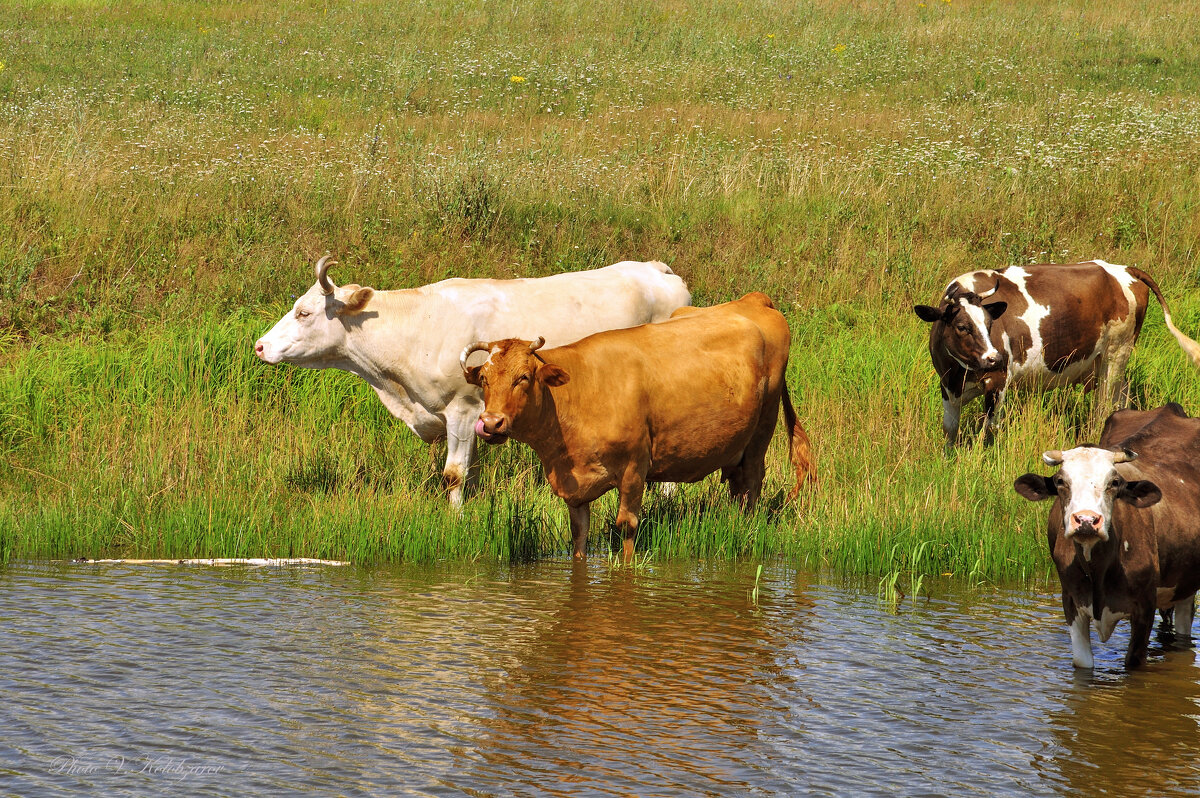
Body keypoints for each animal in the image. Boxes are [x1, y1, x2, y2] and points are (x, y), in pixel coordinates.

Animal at [250, 255, 696, 504]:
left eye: (304, 312)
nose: (259, 346)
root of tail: (656, 270)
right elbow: (472, 472)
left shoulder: (462, 411)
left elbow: (454, 474)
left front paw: (454, 521)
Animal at [456, 291, 816, 559]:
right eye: (484, 378)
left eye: (524, 378)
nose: (491, 423)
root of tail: (754, 300)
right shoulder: (575, 490)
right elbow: (579, 537)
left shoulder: (634, 468)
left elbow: (627, 526)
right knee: (739, 488)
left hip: (762, 428)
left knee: (753, 482)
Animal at [907, 260, 1200, 448]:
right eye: (961, 326)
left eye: (990, 324)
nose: (994, 358)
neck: (960, 372)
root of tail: (1123, 269)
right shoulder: (947, 384)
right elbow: (950, 429)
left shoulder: (998, 381)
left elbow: (990, 429)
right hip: (1101, 362)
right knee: (1122, 396)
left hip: (1116, 351)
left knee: (1104, 404)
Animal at [1012, 400, 1200, 667]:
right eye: (1060, 481)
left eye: (1114, 482)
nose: (1086, 520)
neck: (1098, 569)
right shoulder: (1071, 602)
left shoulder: (1144, 607)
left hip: (1186, 584)